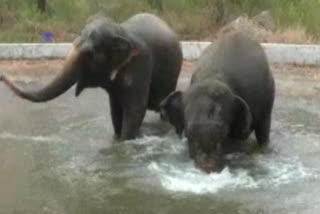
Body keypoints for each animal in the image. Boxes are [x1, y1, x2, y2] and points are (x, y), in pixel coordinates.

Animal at [0, 12, 182, 140]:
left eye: (89, 54)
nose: (1, 75)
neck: (120, 30)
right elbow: (115, 110)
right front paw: (117, 139)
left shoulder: (140, 64)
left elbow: (135, 109)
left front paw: (125, 142)